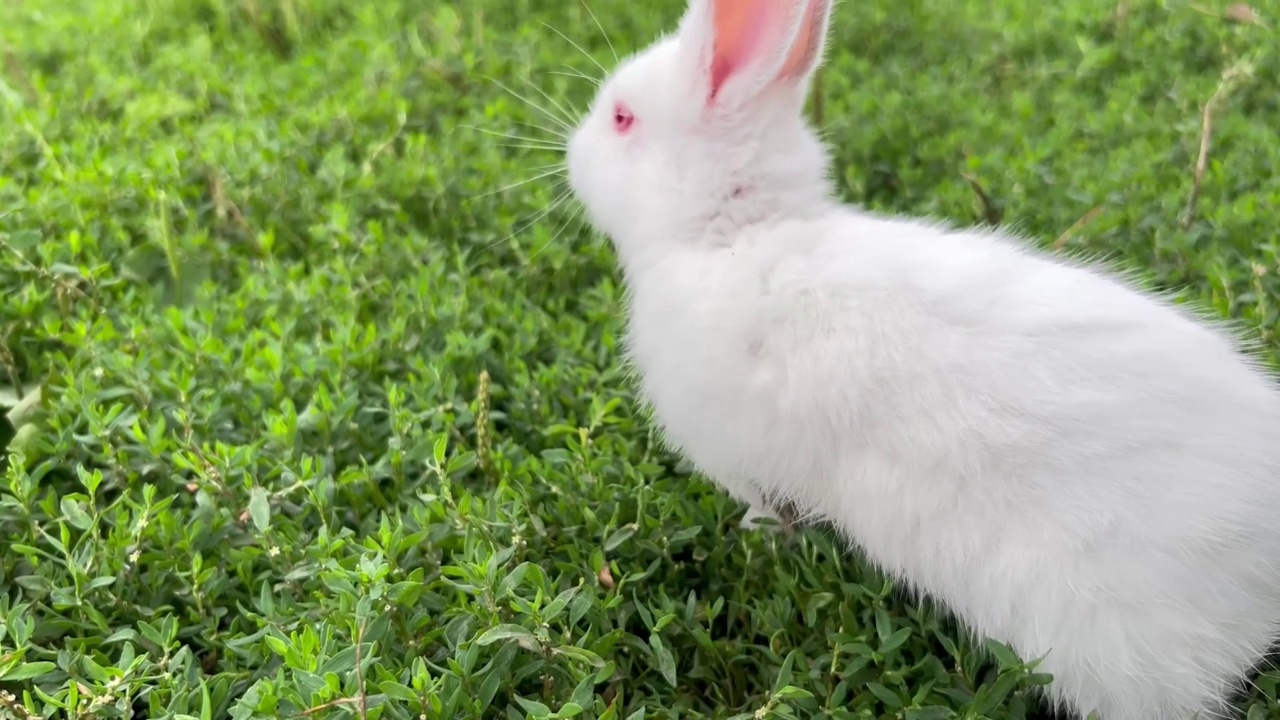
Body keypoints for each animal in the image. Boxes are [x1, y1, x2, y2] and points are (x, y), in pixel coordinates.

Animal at [565, 0, 1280, 712]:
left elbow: (768, 510)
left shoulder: (742, 458)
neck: (735, 235)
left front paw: (754, 534)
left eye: (622, 118)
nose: (571, 152)